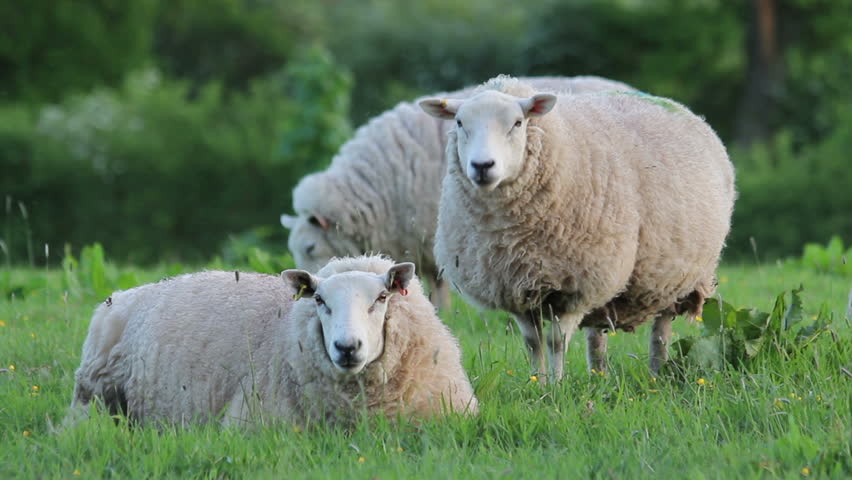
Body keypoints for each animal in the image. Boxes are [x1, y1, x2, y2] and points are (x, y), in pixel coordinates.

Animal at [422, 77, 736, 380]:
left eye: (517, 123)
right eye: (459, 123)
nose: (482, 165)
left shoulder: (575, 287)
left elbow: (556, 342)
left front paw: (557, 386)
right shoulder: (514, 287)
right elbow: (533, 343)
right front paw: (537, 383)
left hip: (672, 278)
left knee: (661, 331)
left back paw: (656, 375)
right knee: (598, 334)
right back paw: (598, 375)